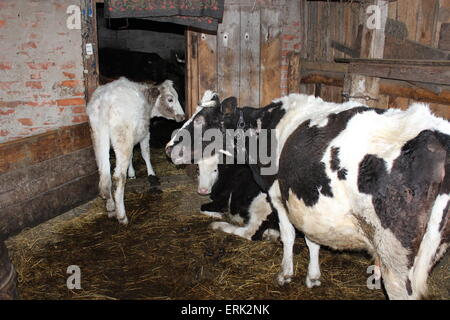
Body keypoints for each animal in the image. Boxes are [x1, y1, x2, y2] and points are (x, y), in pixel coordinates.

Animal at [86, 77, 185, 225]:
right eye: (170, 99)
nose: (182, 116)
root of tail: (105, 100)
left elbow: (133, 154)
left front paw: (132, 173)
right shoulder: (145, 133)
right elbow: (145, 153)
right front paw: (151, 175)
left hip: (98, 139)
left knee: (104, 174)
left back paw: (110, 207)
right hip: (122, 139)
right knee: (118, 177)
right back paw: (122, 216)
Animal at [168, 92, 450, 300]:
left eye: (201, 121)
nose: (170, 147)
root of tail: (438, 138)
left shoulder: (278, 196)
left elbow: (289, 235)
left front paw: (285, 273)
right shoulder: (307, 200)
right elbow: (312, 239)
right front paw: (313, 277)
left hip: (395, 256)